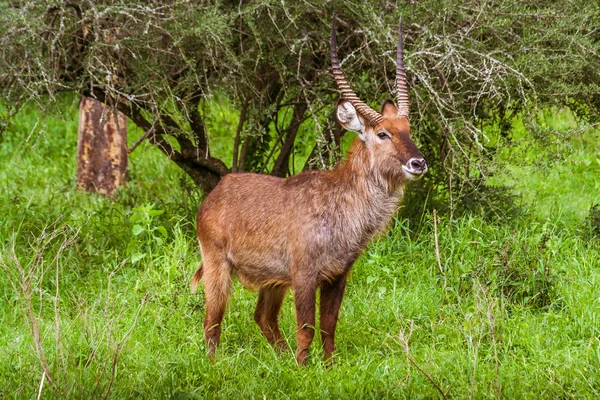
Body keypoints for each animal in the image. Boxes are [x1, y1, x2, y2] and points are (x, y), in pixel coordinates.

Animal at [192, 17, 426, 364]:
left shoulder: (338, 275)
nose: (418, 163)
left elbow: (328, 326)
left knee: (263, 317)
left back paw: (280, 358)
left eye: (408, 130)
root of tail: (218, 190)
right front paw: (304, 369)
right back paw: (216, 363)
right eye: (383, 133)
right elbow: (306, 328)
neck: (340, 202)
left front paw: (328, 367)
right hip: (217, 266)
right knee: (212, 320)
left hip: (274, 279)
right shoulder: (304, 273)